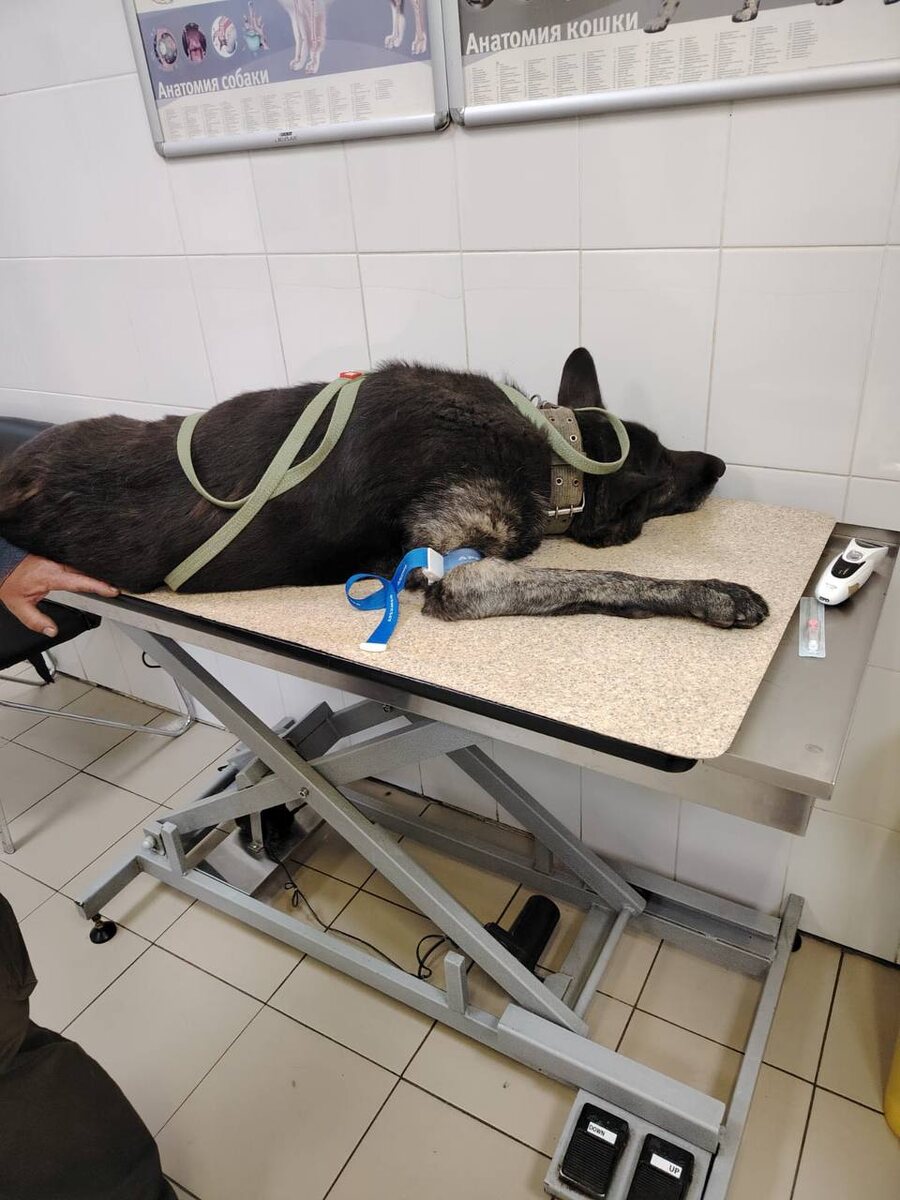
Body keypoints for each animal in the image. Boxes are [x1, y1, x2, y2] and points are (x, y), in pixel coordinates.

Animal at [0, 349, 768, 631]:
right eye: (663, 468)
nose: (720, 466)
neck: (549, 452)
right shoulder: (458, 574)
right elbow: (612, 579)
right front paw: (716, 595)